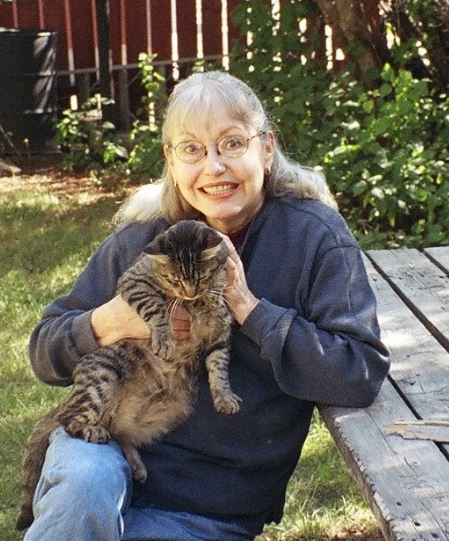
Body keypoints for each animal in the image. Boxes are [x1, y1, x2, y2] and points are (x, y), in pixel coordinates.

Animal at [16, 219, 241, 531]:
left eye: (202, 275)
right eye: (174, 280)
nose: (190, 293)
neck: (194, 304)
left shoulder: (220, 334)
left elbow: (219, 369)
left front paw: (224, 397)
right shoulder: (134, 282)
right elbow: (156, 308)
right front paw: (165, 339)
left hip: (170, 410)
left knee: (120, 434)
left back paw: (135, 463)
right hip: (102, 377)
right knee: (70, 419)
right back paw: (91, 430)